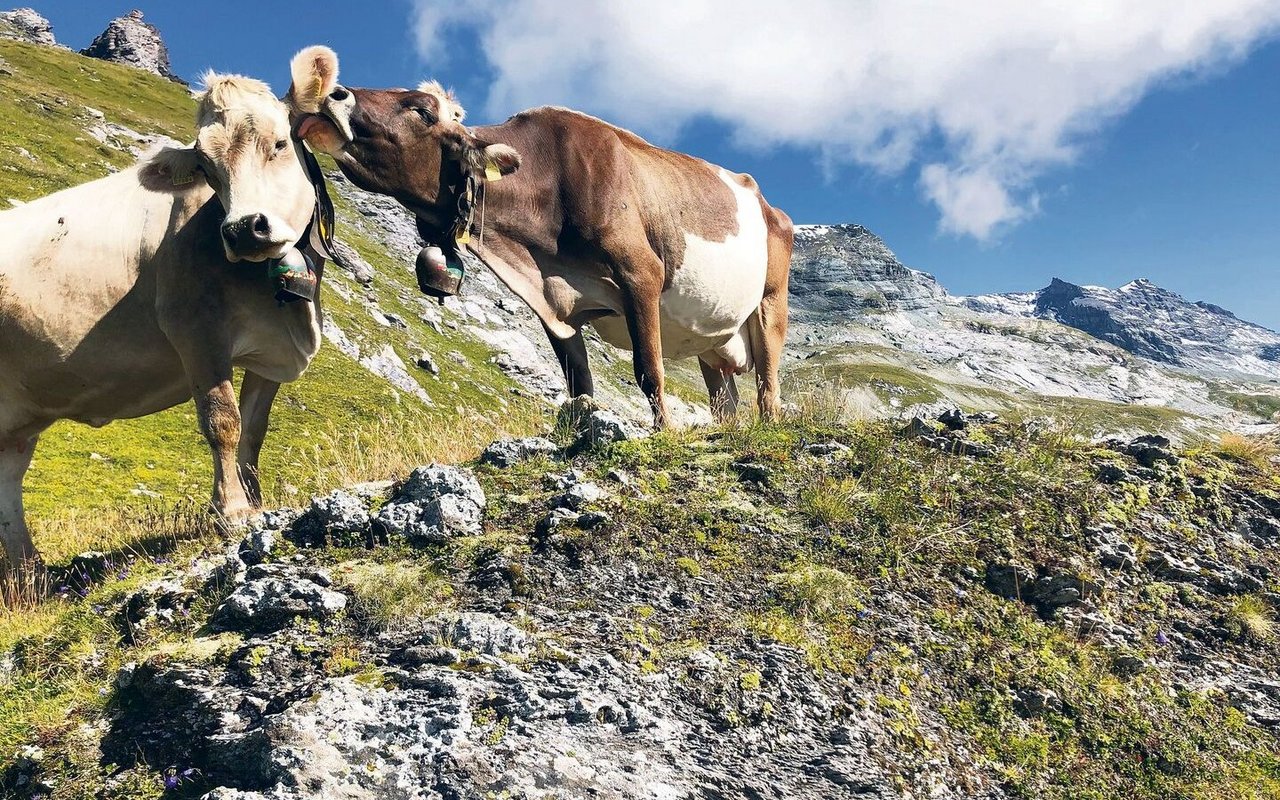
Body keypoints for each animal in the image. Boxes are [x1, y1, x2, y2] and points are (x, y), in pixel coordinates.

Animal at [0, 70, 335, 568]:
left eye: (279, 144)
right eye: (207, 170)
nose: (243, 229)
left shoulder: (271, 350)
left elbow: (254, 430)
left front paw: (256, 503)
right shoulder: (195, 329)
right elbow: (223, 421)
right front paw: (232, 511)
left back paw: (31, 575)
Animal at [289, 46, 788, 427]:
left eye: (421, 111)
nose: (333, 92)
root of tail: (767, 203)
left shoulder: (641, 273)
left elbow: (649, 370)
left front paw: (662, 432)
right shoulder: (556, 306)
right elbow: (580, 386)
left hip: (769, 305)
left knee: (768, 387)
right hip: (714, 344)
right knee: (725, 402)